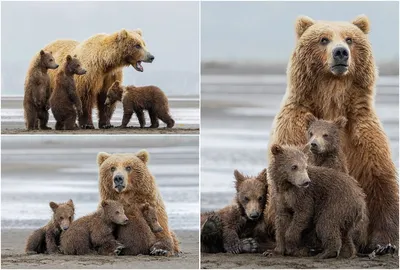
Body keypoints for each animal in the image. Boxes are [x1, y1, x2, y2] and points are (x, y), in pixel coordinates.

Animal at [266, 14, 400, 251]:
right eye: (323, 39)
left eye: (349, 39)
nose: (341, 52)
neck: (332, 98)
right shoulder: (295, 128)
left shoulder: (361, 132)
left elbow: (379, 180)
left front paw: (384, 243)